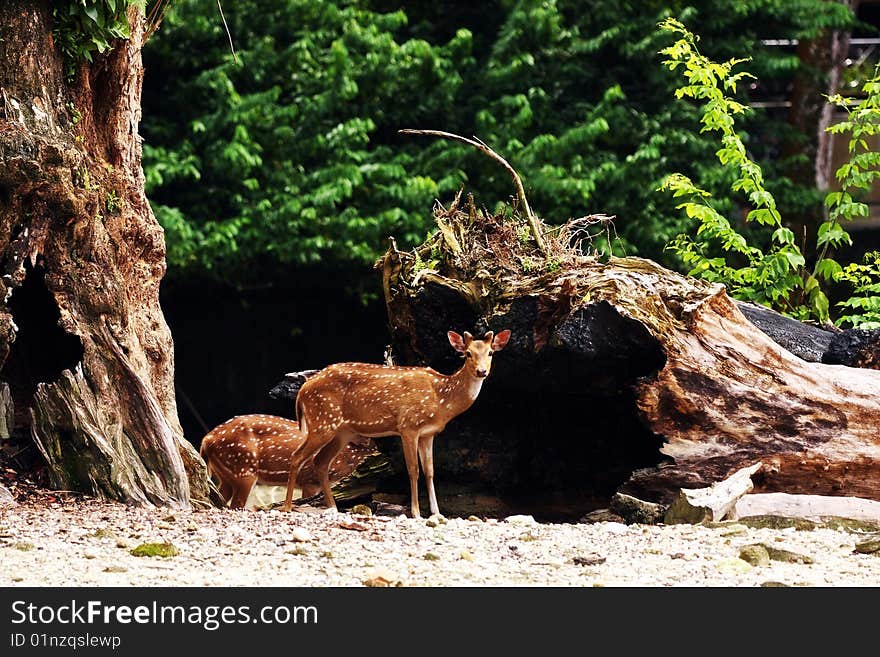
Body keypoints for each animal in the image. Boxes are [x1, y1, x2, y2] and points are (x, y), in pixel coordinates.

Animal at [282, 328, 512, 516]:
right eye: (467, 353)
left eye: (490, 353)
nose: (482, 371)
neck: (441, 399)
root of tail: (303, 390)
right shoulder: (408, 425)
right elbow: (413, 469)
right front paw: (416, 512)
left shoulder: (428, 433)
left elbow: (430, 471)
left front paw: (437, 513)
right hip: (322, 421)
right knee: (297, 456)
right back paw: (287, 507)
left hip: (341, 431)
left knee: (321, 462)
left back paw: (333, 507)